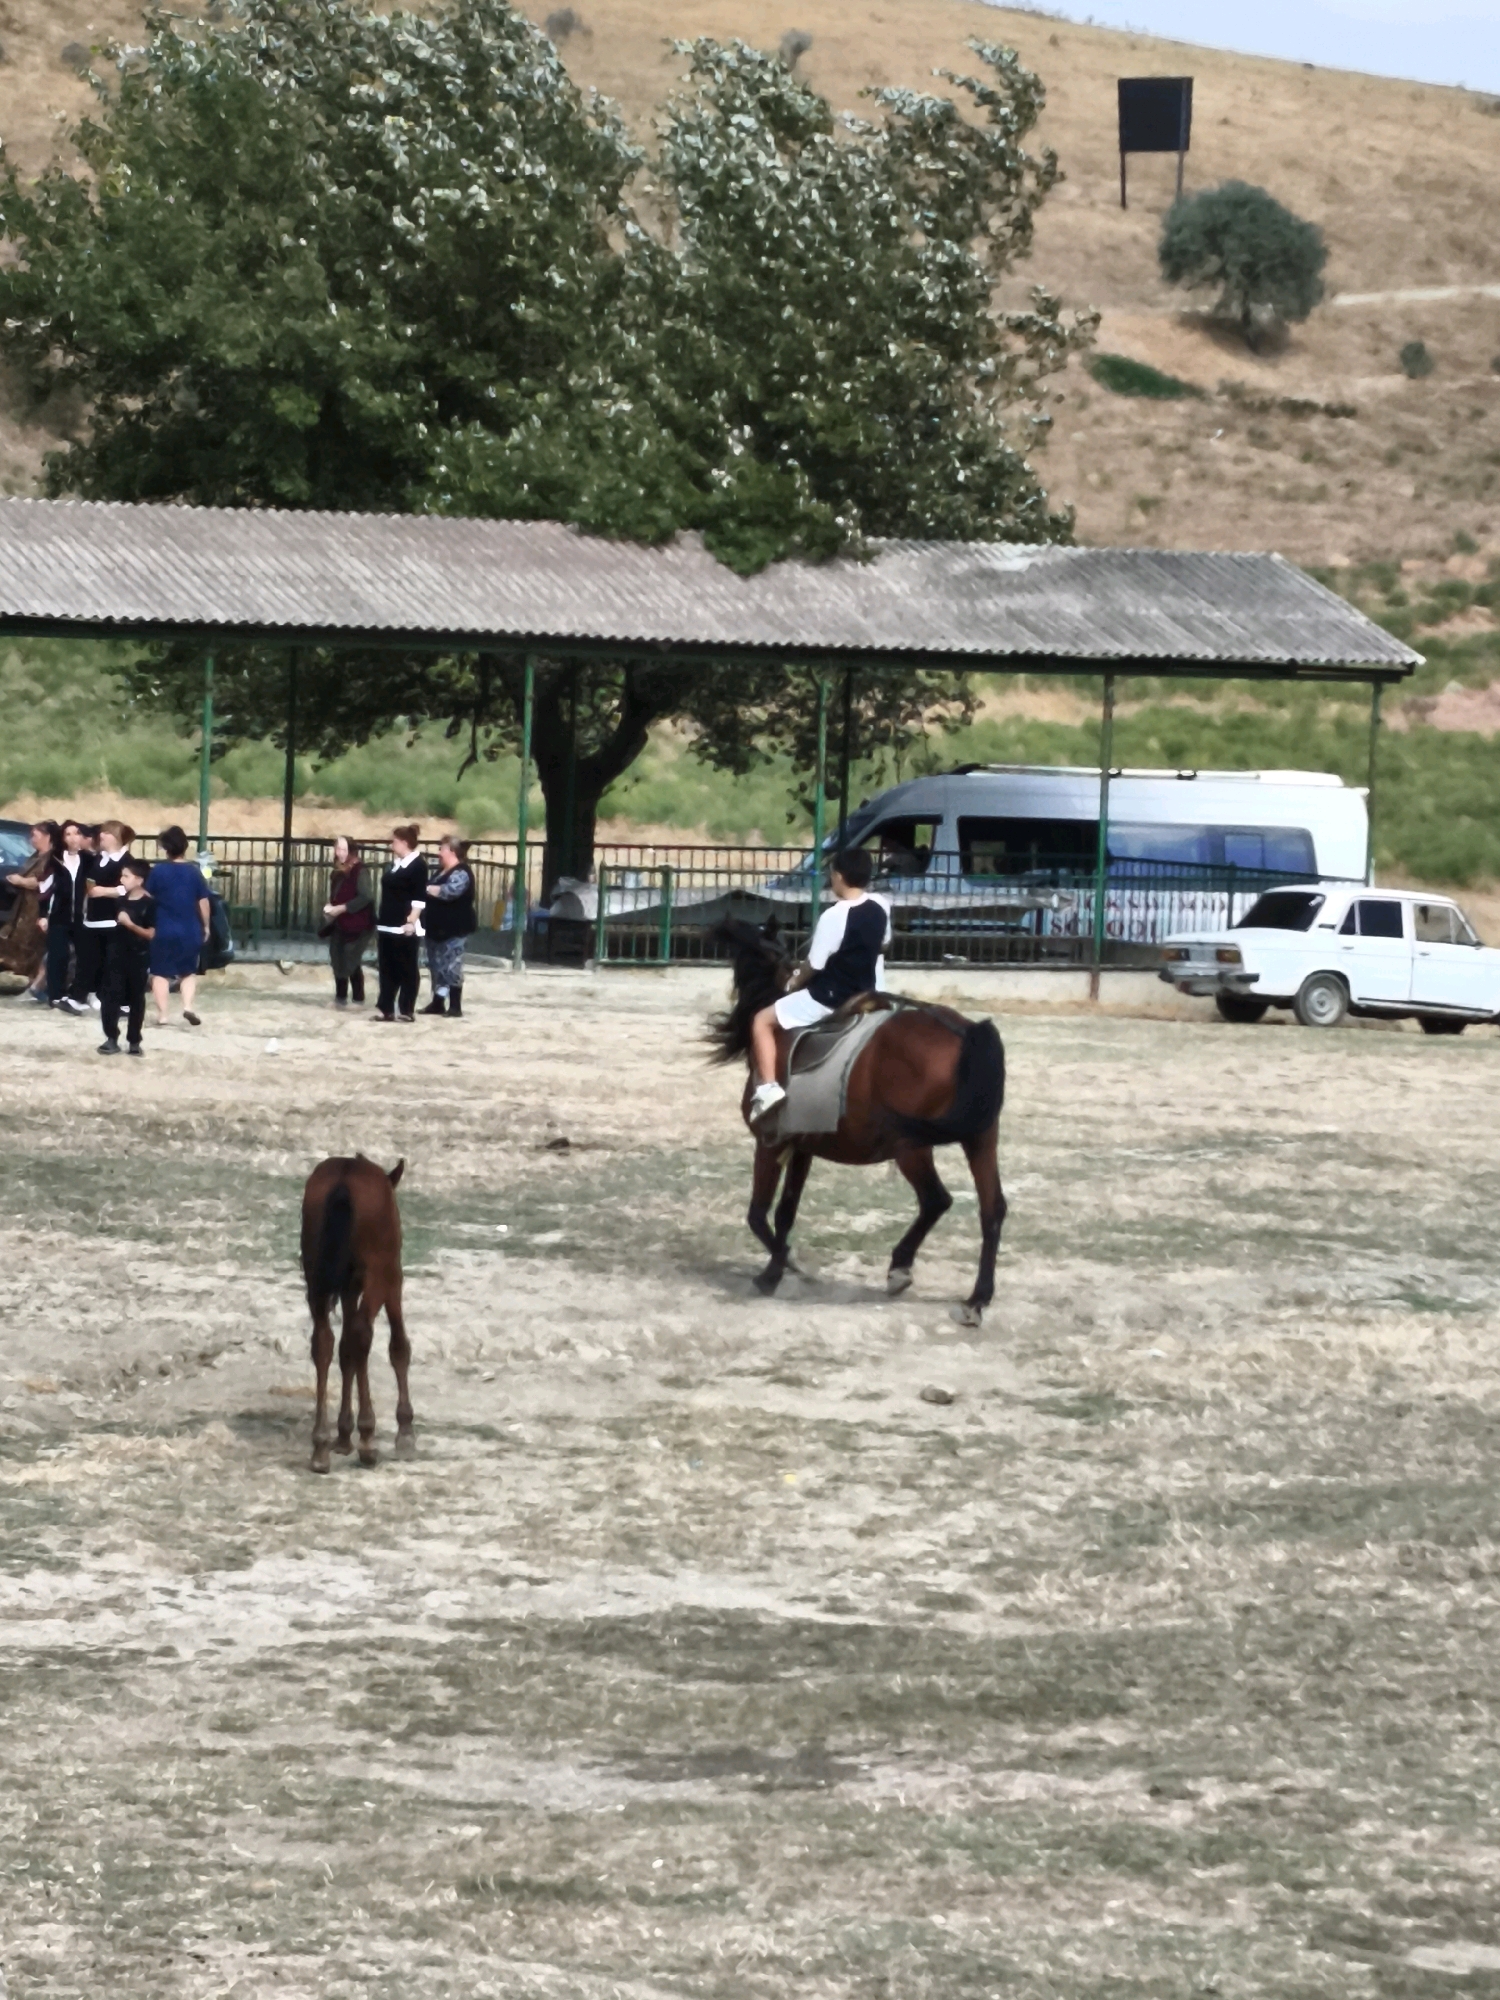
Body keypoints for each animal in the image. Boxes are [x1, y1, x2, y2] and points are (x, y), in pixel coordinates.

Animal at [300, 1154, 413, 1473]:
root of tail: (345, 1177)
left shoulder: (348, 1289)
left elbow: (345, 1352)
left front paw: (343, 1434)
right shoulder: (392, 1280)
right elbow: (398, 1348)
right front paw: (404, 1431)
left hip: (317, 1282)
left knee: (324, 1343)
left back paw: (321, 1445)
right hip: (377, 1279)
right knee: (362, 1334)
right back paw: (367, 1441)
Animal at [708, 919, 1008, 1324]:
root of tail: (967, 1031)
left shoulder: (770, 1142)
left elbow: (757, 1214)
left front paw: (781, 1269)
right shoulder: (802, 1147)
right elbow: (786, 1212)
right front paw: (778, 1267)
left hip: (910, 1147)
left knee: (935, 1199)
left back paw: (902, 1270)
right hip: (980, 1139)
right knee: (991, 1209)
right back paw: (976, 1299)